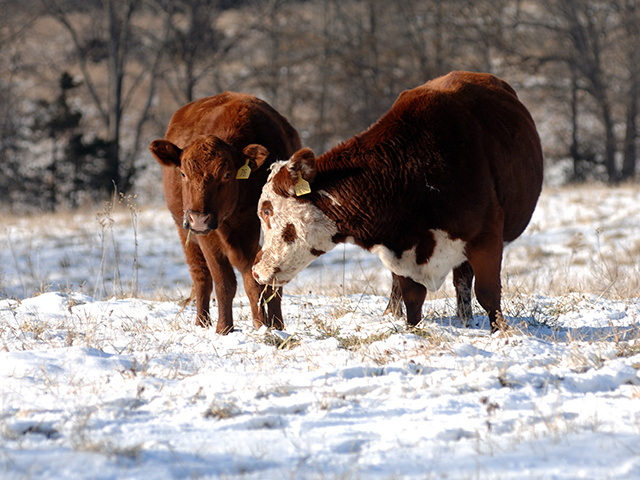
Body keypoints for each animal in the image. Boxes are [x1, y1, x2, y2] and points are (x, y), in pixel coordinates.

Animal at [149, 92, 301, 334]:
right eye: (183, 174)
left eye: (227, 174)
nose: (198, 218)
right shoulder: (208, 235)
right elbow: (224, 281)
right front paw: (224, 329)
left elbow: (255, 278)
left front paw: (263, 325)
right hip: (185, 230)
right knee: (201, 276)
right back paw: (202, 322)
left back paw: (277, 324)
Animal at [252, 71, 543, 333]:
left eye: (266, 210)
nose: (256, 270)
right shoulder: (399, 249)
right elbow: (412, 300)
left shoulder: (486, 237)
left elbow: (488, 293)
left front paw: (500, 334)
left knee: (463, 280)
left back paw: (465, 318)